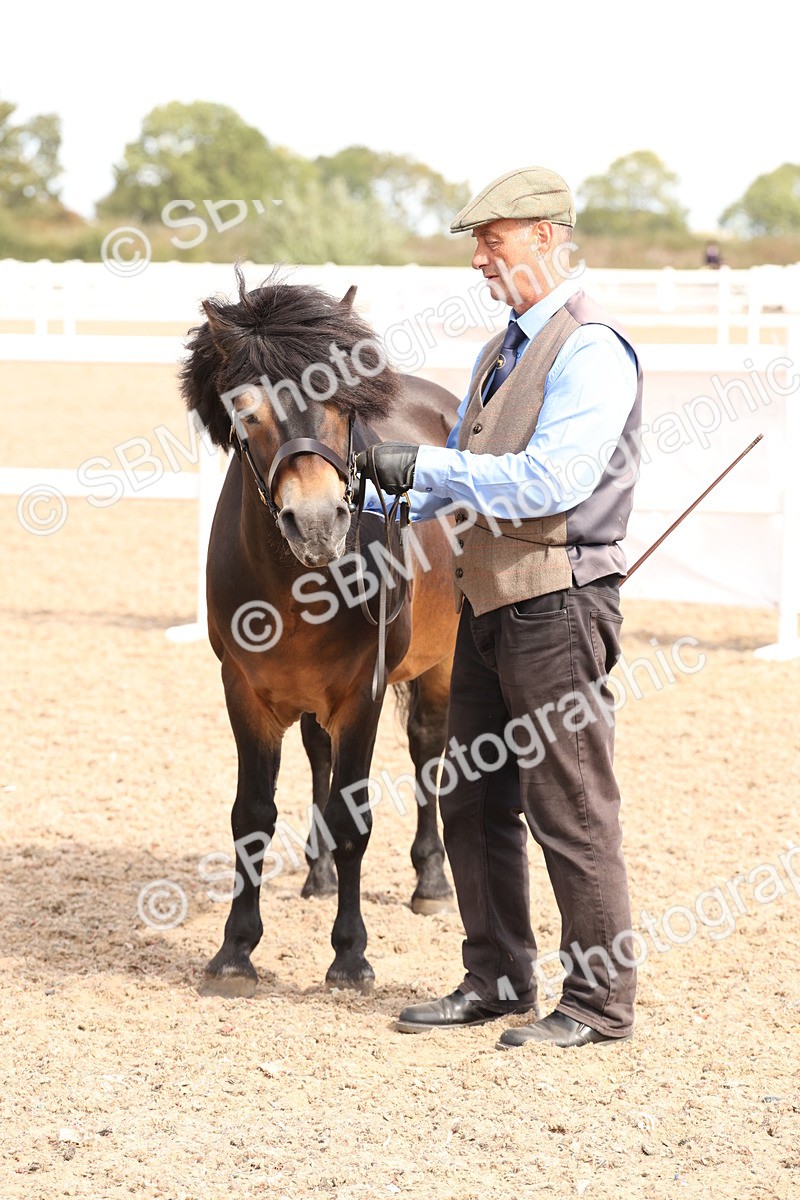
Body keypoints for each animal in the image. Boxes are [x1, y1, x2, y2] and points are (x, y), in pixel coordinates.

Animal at [181, 270, 461, 997]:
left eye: (340, 401)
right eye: (246, 410)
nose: (315, 522)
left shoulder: (363, 695)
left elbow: (353, 816)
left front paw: (350, 954)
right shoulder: (244, 692)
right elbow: (251, 815)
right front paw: (234, 951)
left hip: (440, 664)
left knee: (428, 752)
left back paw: (431, 879)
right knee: (316, 756)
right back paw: (320, 871)